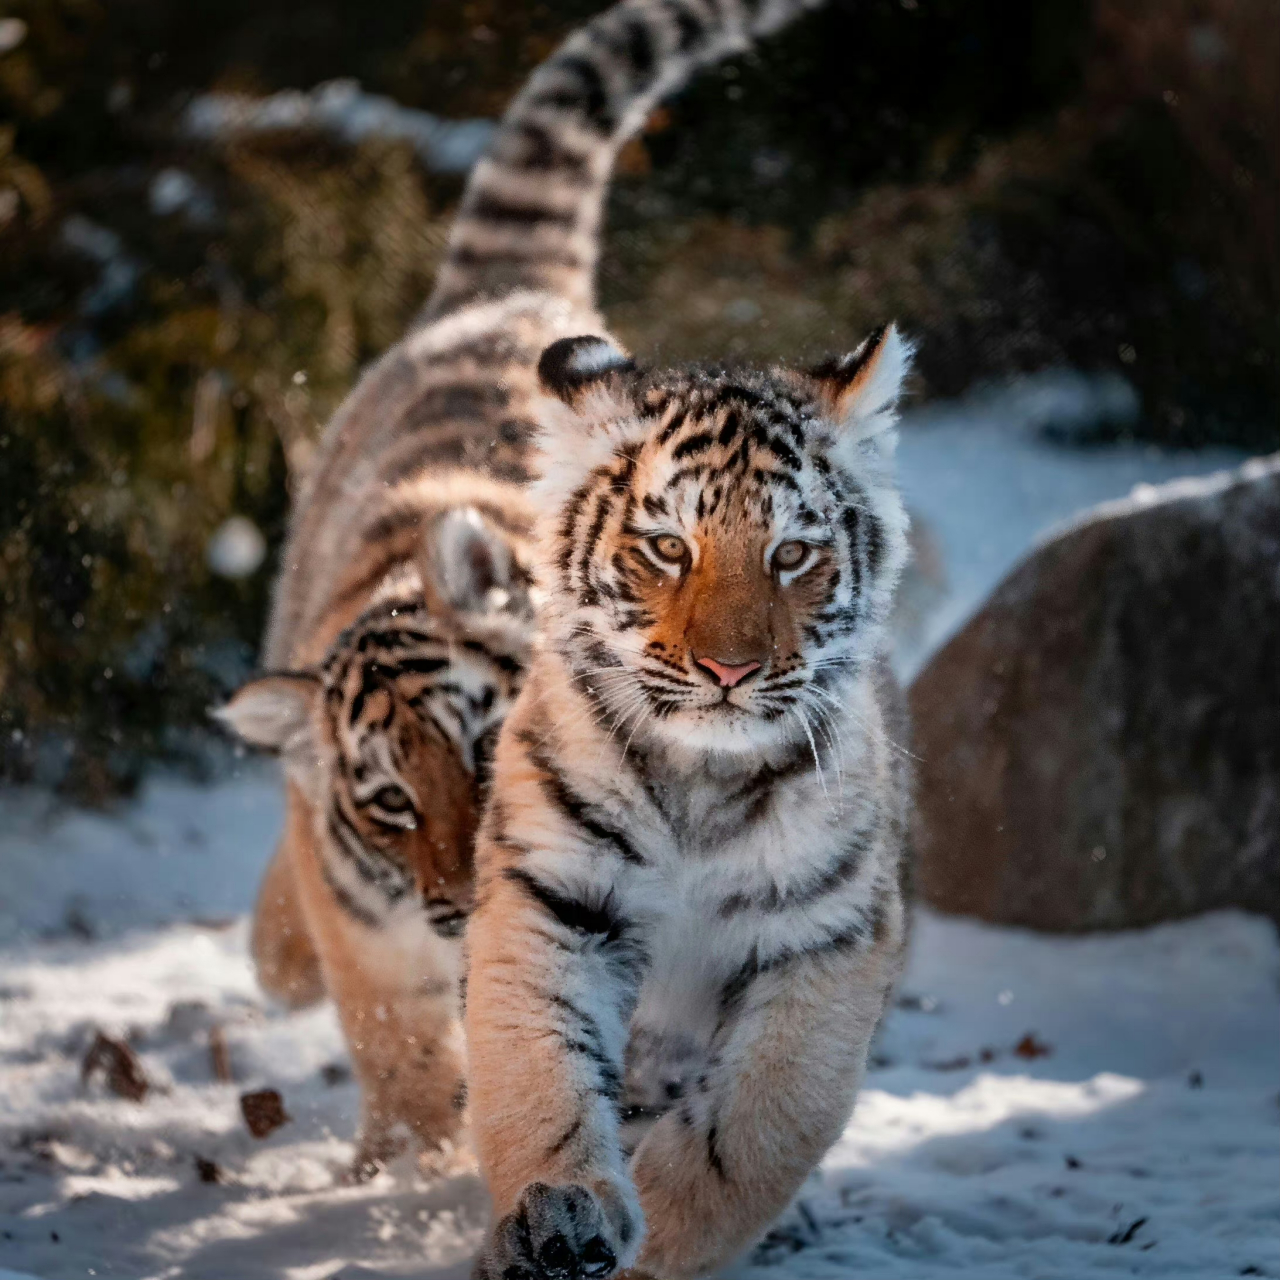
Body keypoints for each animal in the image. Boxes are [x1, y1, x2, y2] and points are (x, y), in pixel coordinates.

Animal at [213, 0, 824, 1177]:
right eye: (390, 800)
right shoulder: (374, 927)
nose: (461, 899)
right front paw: (411, 1155)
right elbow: (393, 1031)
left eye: (483, 747)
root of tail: (501, 294)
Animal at [465, 335, 916, 1264]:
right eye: (670, 548)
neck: (703, 782)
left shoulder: (829, 935)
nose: (728, 669)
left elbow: (758, 1129)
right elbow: (538, 1073)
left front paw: (660, 1245)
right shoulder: (553, 898)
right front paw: (558, 1214)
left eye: (791, 554)